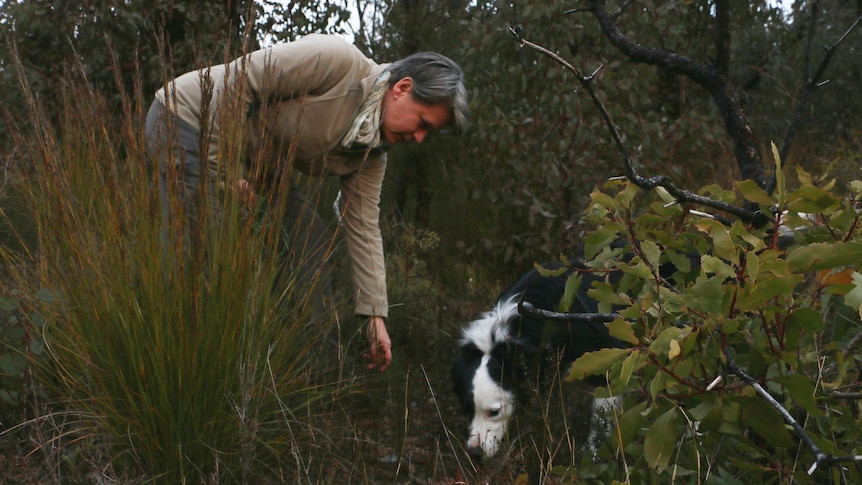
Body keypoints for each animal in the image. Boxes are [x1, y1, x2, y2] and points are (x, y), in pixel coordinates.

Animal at [452, 260, 636, 456]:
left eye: (494, 412)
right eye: (467, 409)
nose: (475, 453)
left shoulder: (604, 361)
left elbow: (601, 420)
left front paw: (593, 454)